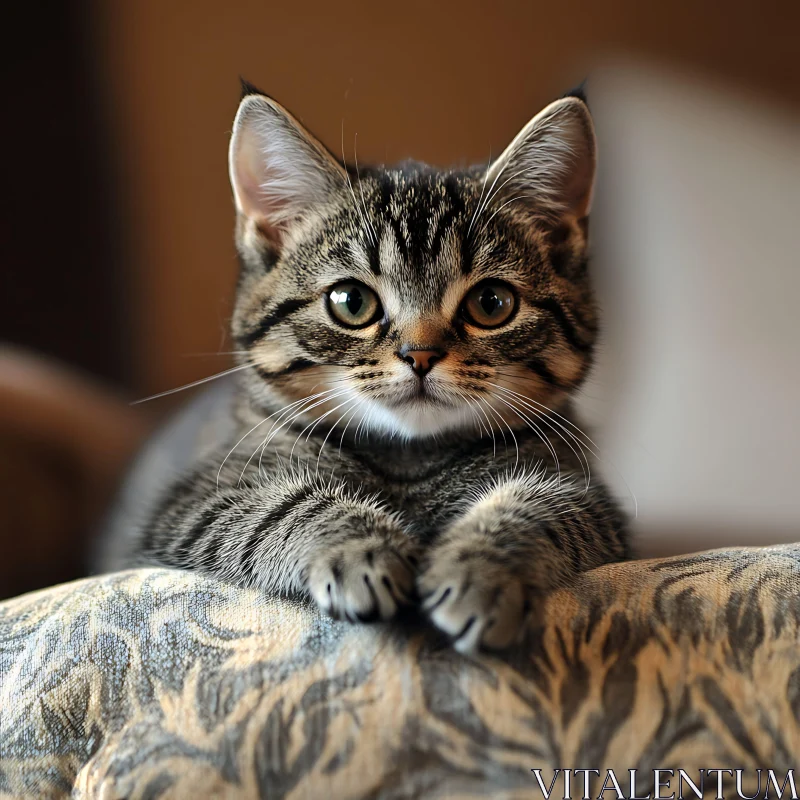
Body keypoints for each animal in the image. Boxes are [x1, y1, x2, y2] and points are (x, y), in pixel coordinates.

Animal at [101, 84, 624, 652]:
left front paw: (482, 569)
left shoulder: (590, 500)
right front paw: (360, 551)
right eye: (352, 302)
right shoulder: (185, 507)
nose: (420, 354)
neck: (408, 462)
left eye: (491, 303)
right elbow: (278, 506)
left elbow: (543, 508)